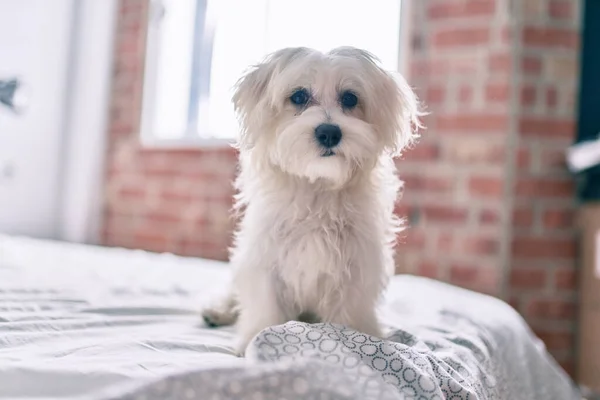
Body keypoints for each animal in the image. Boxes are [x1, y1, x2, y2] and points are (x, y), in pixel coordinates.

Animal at [202, 45, 422, 354]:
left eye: (350, 98)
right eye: (298, 96)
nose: (329, 132)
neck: (318, 187)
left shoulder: (356, 268)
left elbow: (348, 314)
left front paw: (355, 341)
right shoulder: (265, 260)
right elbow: (265, 306)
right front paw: (255, 339)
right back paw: (217, 311)